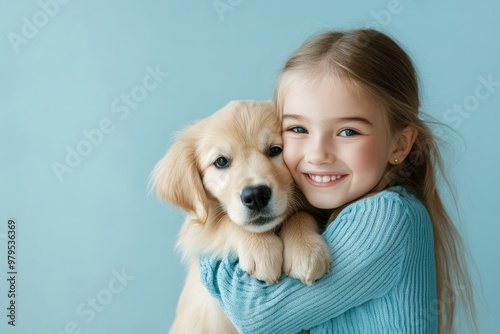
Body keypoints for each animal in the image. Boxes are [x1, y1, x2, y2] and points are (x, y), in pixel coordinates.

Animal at [152, 100, 332, 332]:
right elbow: (225, 222)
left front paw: (306, 249)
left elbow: (300, 213)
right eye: (221, 162)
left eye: (275, 150)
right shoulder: (197, 231)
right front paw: (262, 249)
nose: (255, 196)